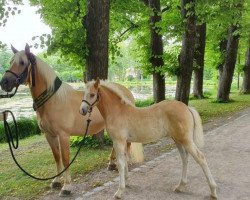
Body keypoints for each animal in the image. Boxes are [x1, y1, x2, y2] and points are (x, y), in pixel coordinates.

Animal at [0, 44, 144, 196]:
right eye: (11, 61)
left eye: (22, 62)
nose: (4, 83)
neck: (54, 101)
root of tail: (126, 91)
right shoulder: (49, 135)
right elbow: (57, 157)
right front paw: (56, 181)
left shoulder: (63, 135)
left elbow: (65, 158)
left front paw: (66, 186)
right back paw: (111, 164)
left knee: (126, 145)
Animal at [79, 79, 217, 199]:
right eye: (84, 93)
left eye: (92, 94)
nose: (82, 110)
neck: (118, 111)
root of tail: (187, 107)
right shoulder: (124, 142)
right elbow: (125, 160)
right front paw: (126, 183)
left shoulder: (118, 141)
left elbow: (120, 163)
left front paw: (119, 191)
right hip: (178, 140)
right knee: (184, 158)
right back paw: (180, 186)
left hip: (185, 140)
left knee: (200, 158)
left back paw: (213, 191)